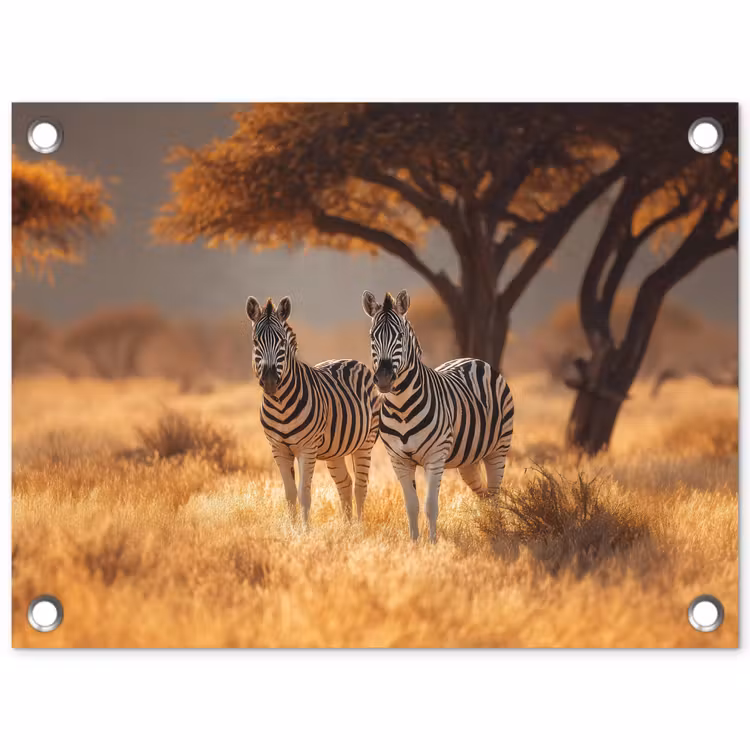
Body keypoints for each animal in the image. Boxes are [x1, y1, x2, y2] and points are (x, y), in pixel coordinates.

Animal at [246, 295, 380, 524]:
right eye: (256, 342)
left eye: (282, 342)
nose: (270, 381)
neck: (280, 405)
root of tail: (351, 360)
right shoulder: (278, 449)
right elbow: (290, 494)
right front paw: (292, 529)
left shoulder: (306, 449)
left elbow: (304, 493)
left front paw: (305, 530)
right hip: (336, 450)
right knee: (345, 484)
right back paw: (346, 528)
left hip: (366, 442)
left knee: (360, 488)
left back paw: (358, 528)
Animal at [362, 289, 514, 543]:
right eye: (373, 336)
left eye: (400, 336)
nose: (383, 379)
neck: (402, 408)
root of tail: (474, 360)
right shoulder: (399, 460)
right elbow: (412, 505)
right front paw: (414, 543)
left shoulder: (435, 457)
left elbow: (430, 506)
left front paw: (433, 543)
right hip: (468, 459)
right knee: (483, 493)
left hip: (498, 449)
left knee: (494, 494)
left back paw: (497, 532)